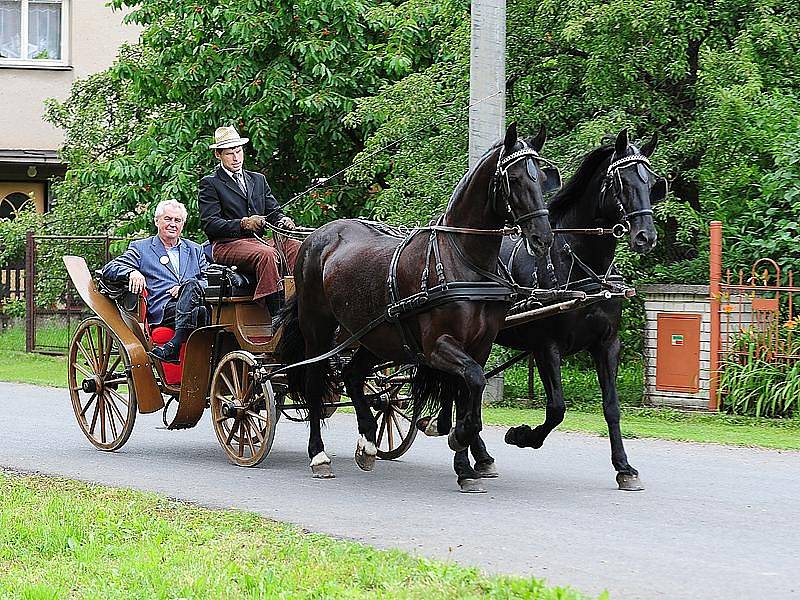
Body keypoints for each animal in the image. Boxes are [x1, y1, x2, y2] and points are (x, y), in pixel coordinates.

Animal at [280, 123, 556, 492]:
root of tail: (317, 236)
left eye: (541, 176)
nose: (543, 238)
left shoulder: (479, 346)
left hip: (374, 337)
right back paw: (319, 455)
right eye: (514, 179)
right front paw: (457, 437)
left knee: (352, 375)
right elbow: (472, 383)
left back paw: (368, 442)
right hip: (318, 329)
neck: (463, 260)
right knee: (313, 384)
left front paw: (465, 467)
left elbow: (469, 391)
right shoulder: (438, 346)